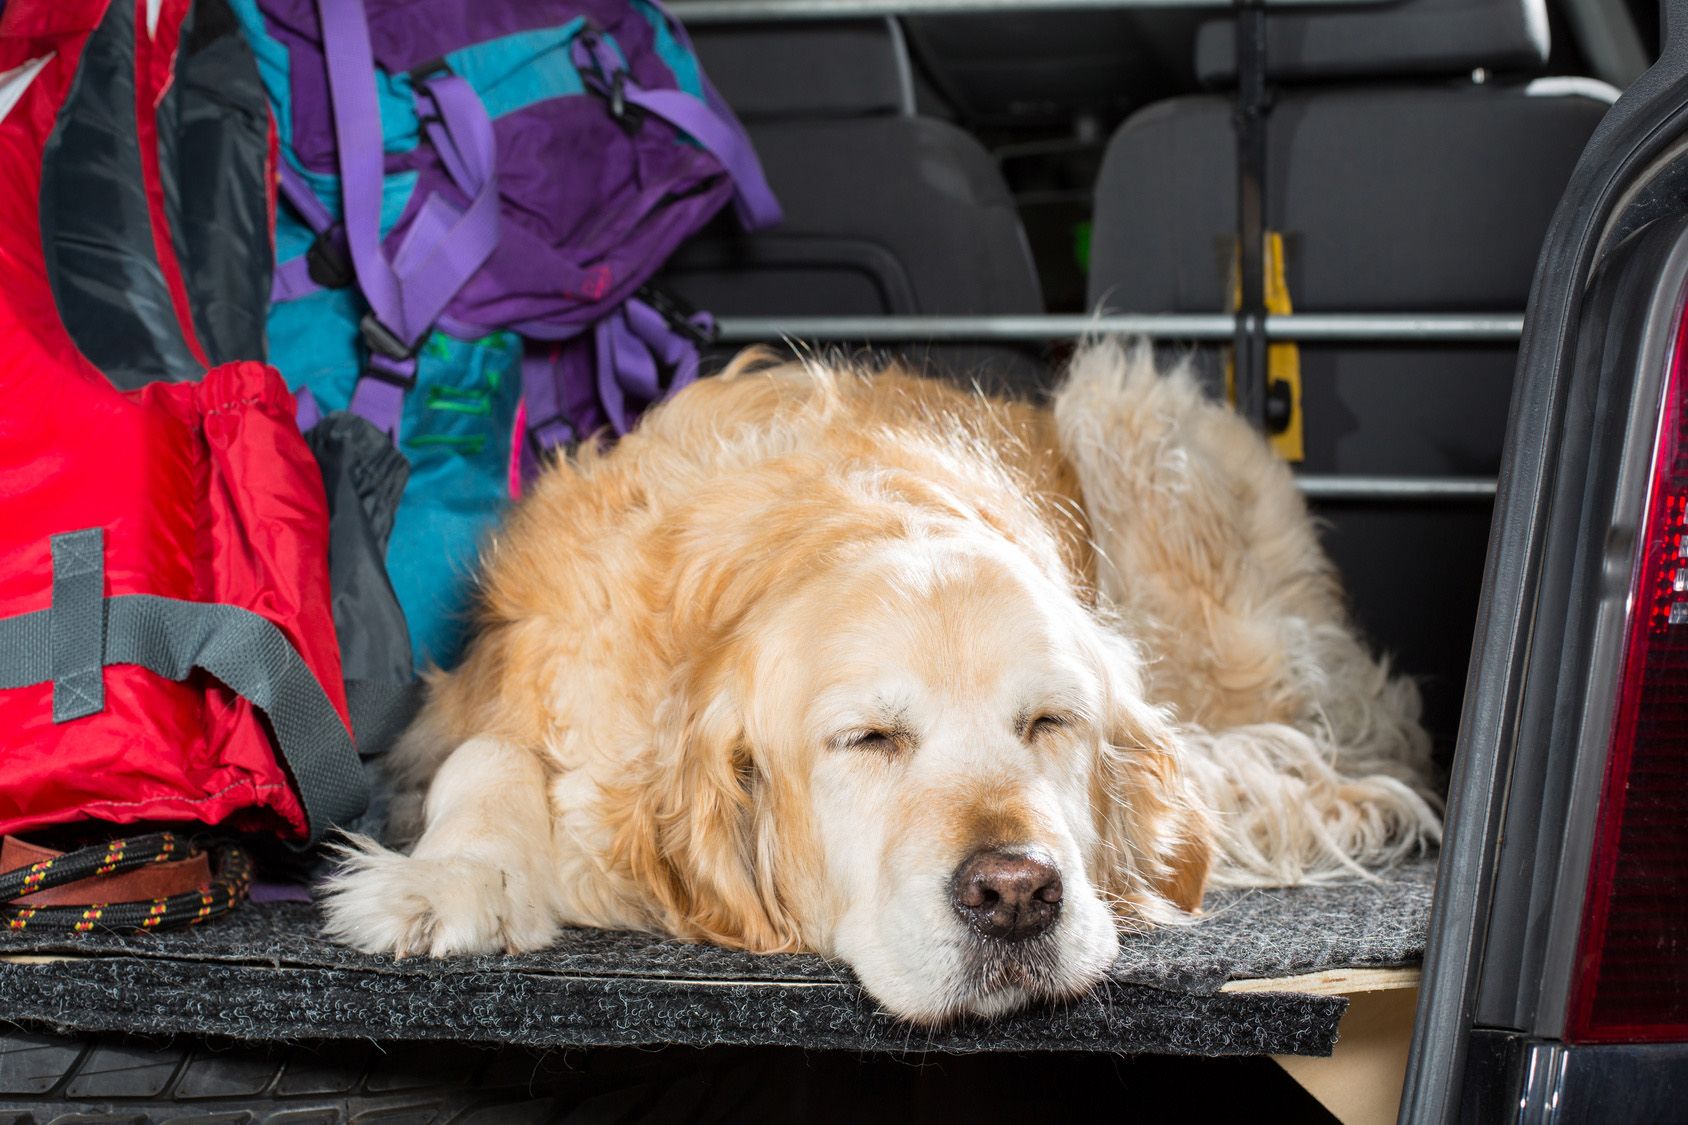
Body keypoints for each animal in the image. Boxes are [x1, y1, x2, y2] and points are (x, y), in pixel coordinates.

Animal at [322, 339, 1444, 1027]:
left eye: (1051, 721)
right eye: (867, 739)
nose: (1015, 894)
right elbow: (483, 752)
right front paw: (449, 877)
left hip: (1130, 429)